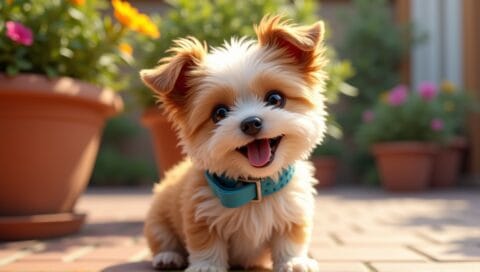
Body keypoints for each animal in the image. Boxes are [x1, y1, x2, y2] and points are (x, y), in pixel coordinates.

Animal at [139, 15, 326, 272]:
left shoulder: (293, 211)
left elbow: (290, 239)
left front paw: (294, 261)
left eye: (275, 98)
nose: (251, 123)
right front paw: (206, 266)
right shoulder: (201, 213)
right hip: (157, 217)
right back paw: (168, 257)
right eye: (219, 113)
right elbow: (205, 244)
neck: (255, 189)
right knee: (162, 239)